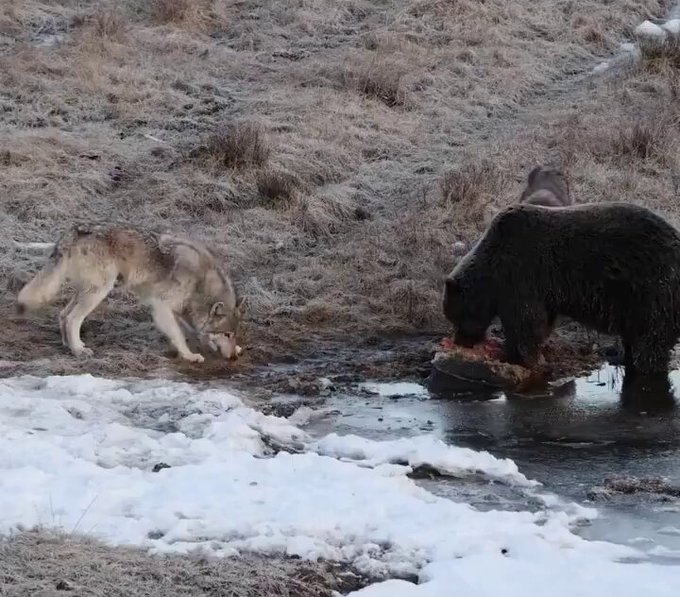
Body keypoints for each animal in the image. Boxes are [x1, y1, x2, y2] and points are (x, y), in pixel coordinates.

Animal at [16, 224, 244, 363]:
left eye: (233, 334)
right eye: (226, 334)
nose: (233, 358)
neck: (200, 281)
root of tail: (74, 232)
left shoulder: (180, 309)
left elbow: (191, 330)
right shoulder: (161, 306)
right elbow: (178, 335)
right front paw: (189, 355)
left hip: (87, 291)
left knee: (63, 315)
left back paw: (72, 345)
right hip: (99, 291)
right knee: (72, 318)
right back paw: (79, 351)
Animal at [442, 202, 680, 378]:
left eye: (454, 317)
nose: (460, 340)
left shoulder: (521, 274)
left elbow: (524, 322)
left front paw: (512, 355)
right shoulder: (541, 289)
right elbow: (541, 321)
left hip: (651, 288)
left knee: (650, 340)